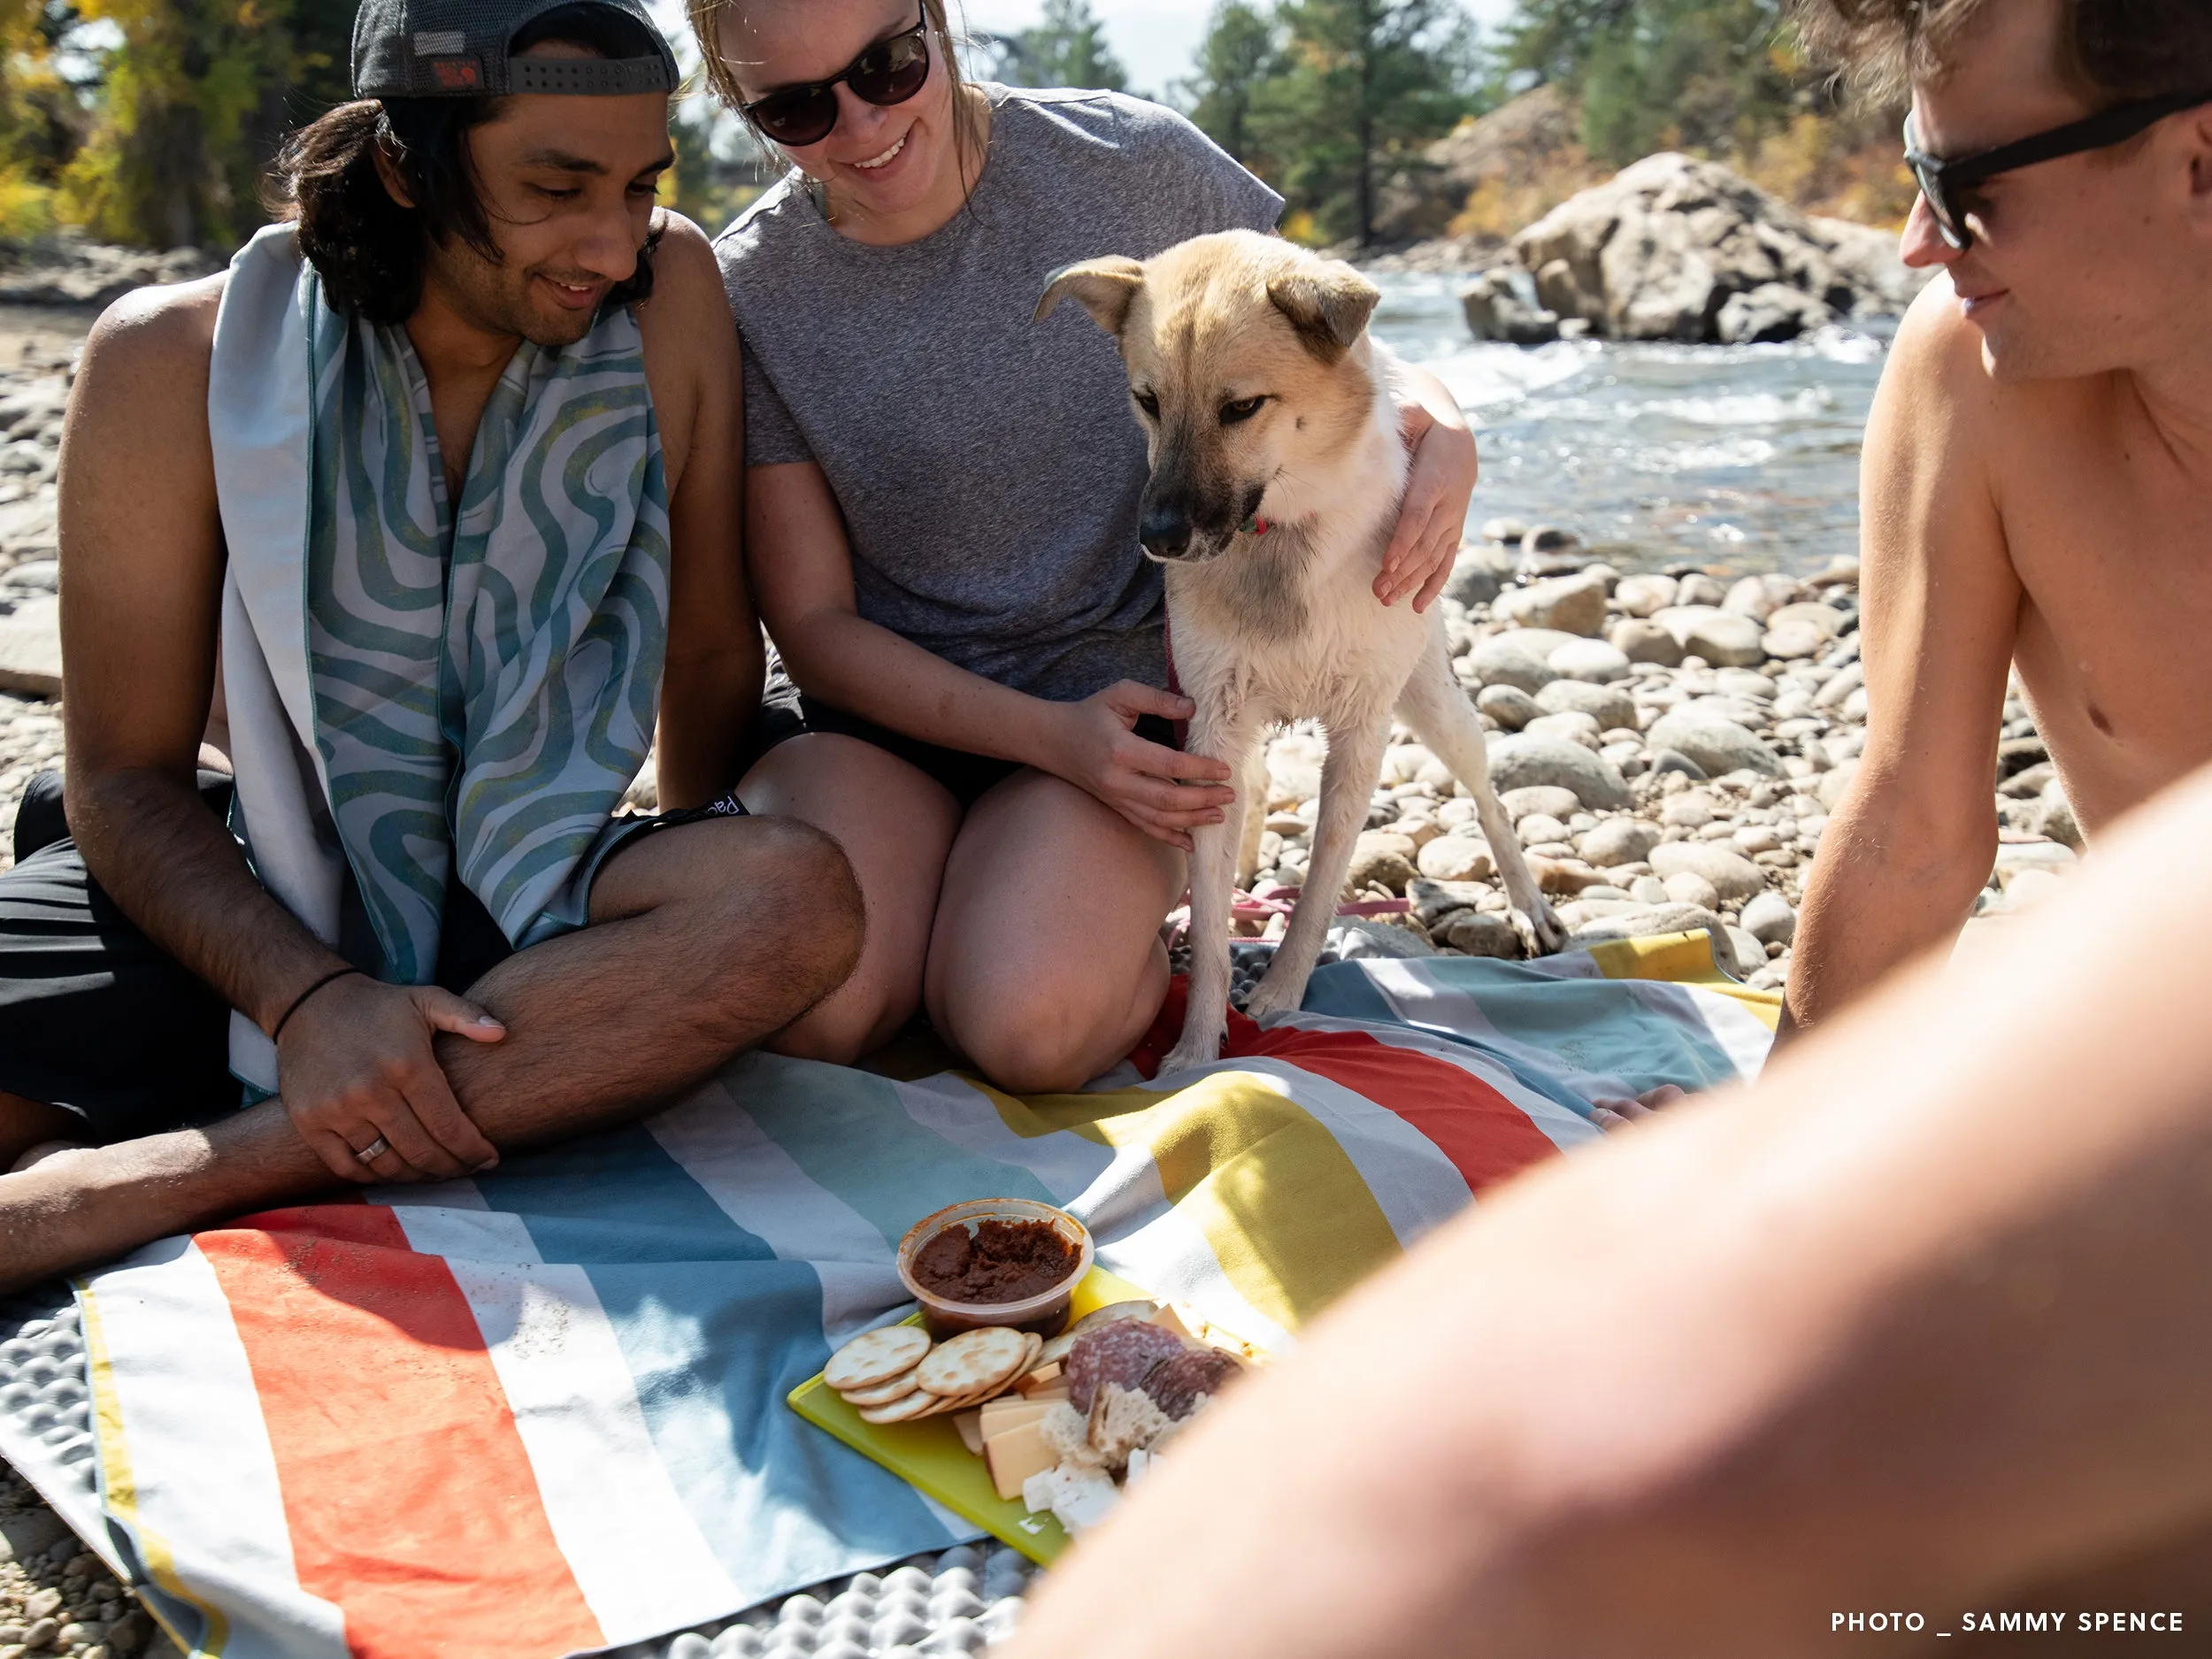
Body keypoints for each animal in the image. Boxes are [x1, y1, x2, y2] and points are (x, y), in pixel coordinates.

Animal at [1044, 227, 1566, 1071]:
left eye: (1241, 407)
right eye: (1147, 401)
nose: (1157, 539)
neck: (1281, 535)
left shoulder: (1360, 731)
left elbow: (1322, 887)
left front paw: (1282, 993)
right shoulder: (1212, 724)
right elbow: (1212, 916)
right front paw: (1197, 1045)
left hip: (1435, 703)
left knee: (1487, 798)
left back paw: (1530, 907)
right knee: (1256, 792)